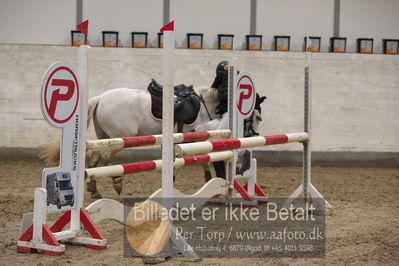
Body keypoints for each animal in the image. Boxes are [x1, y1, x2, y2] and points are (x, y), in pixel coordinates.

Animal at [39, 85, 266, 197]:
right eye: (257, 116)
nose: (254, 136)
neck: (204, 104)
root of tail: (101, 98)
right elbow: (186, 162)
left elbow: (199, 161)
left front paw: (208, 179)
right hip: (121, 137)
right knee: (103, 157)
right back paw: (116, 182)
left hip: (106, 136)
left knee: (95, 160)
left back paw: (94, 189)